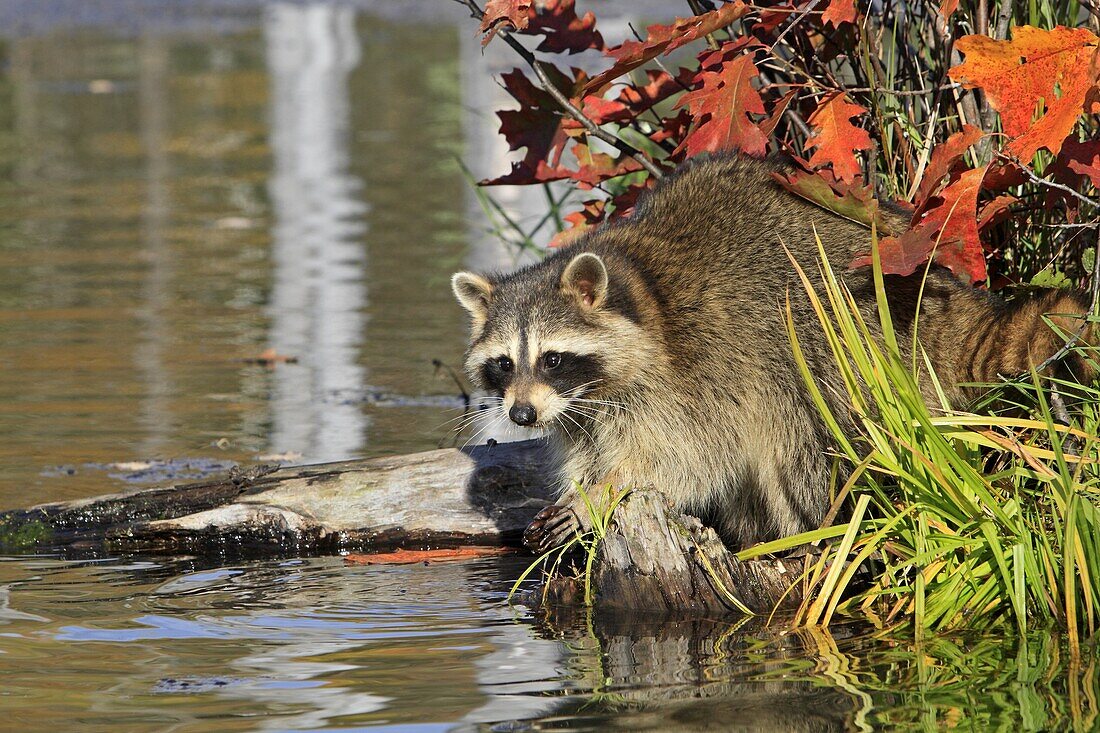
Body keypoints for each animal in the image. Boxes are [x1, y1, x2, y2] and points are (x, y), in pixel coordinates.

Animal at [448, 155, 1091, 554]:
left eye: (553, 358)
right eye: (504, 364)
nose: (521, 415)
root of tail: (944, 289)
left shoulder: (694, 371)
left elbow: (690, 457)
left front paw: (607, 492)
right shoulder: (583, 411)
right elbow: (589, 447)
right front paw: (583, 487)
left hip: (845, 333)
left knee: (809, 437)